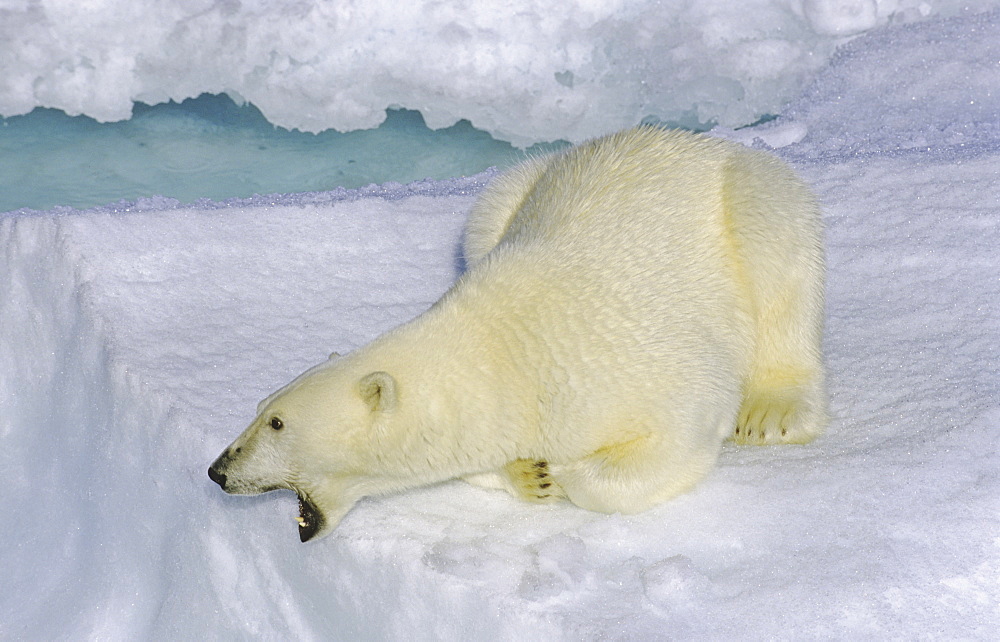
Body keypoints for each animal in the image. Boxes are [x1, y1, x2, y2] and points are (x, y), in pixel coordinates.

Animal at [207, 125, 824, 540]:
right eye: (261, 407)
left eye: (277, 422)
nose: (218, 469)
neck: (510, 357)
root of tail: (696, 141)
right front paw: (530, 474)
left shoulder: (638, 367)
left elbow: (674, 437)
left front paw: (564, 472)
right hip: (515, 190)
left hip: (746, 199)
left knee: (779, 261)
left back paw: (772, 410)